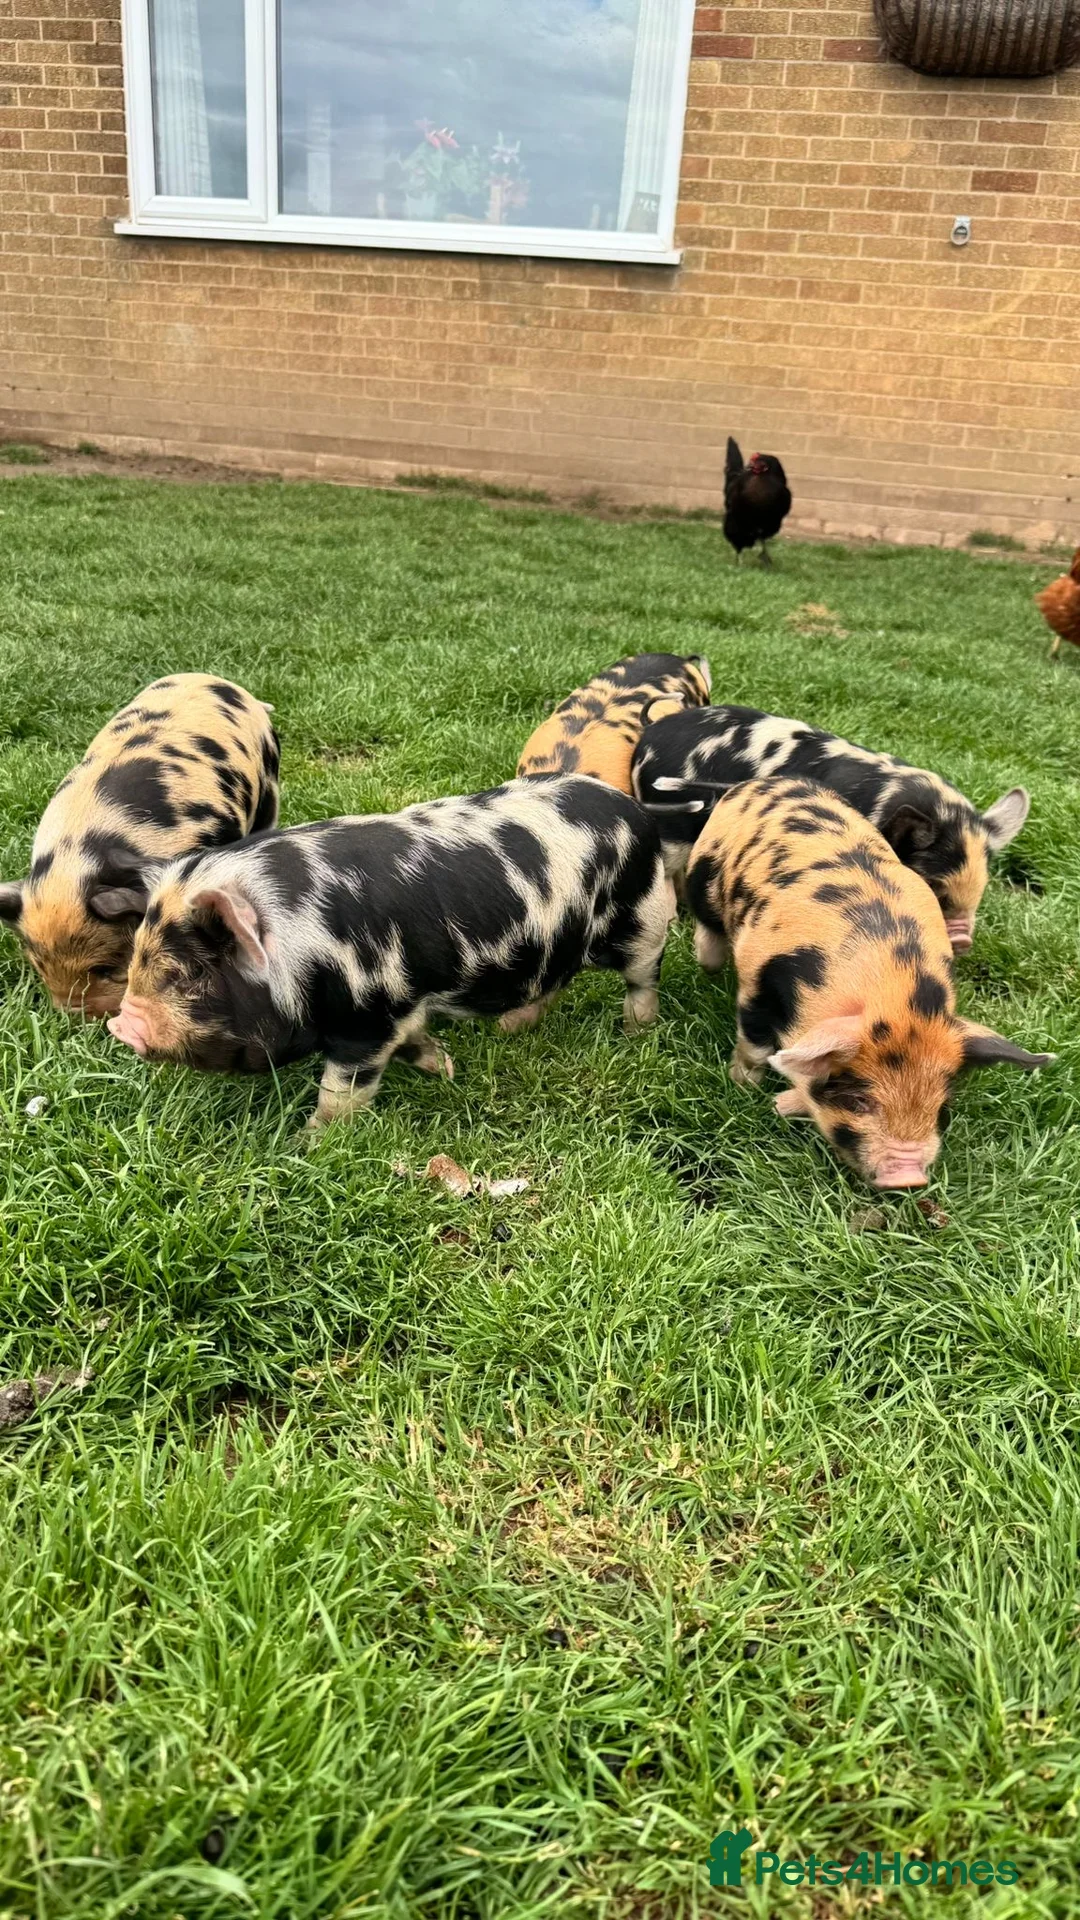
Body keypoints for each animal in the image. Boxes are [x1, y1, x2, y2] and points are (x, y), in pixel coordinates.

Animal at [0, 674, 279, 1019]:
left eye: (105, 968)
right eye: (39, 966)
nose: (74, 1014)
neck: (78, 857)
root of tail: (218, 681)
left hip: (270, 783)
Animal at [107, 776, 675, 1127]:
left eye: (189, 972)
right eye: (137, 960)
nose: (121, 1023)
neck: (303, 949)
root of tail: (633, 809)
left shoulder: (369, 1016)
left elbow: (342, 1092)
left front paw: (310, 1144)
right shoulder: (403, 1006)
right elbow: (413, 1042)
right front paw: (445, 1068)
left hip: (642, 917)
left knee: (644, 975)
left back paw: (636, 1031)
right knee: (553, 982)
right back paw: (509, 1028)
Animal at [685, 776, 1053, 1188]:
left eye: (942, 1107)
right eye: (859, 1100)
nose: (908, 1178)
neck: (891, 988)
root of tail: (767, 782)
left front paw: (781, 1103)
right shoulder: (756, 982)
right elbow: (756, 1045)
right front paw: (745, 1085)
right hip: (703, 867)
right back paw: (709, 962)